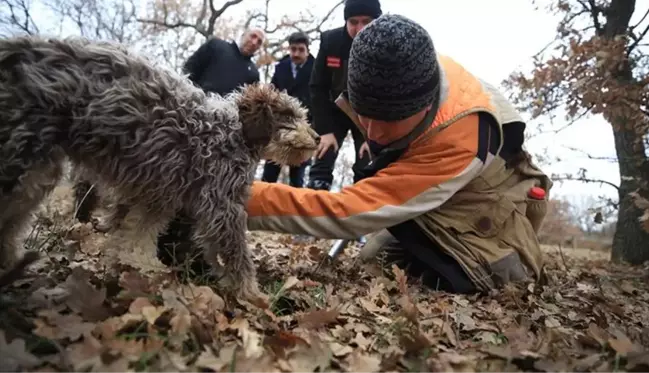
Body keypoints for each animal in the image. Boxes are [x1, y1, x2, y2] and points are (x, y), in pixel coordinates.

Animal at [0, 35, 318, 308]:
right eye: (288, 116)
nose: (317, 138)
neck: (235, 131)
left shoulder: (160, 194)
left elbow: (138, 234)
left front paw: (139, 266)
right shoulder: (222, 205)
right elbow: (236, 256)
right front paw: (254, 296)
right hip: (24, 160)